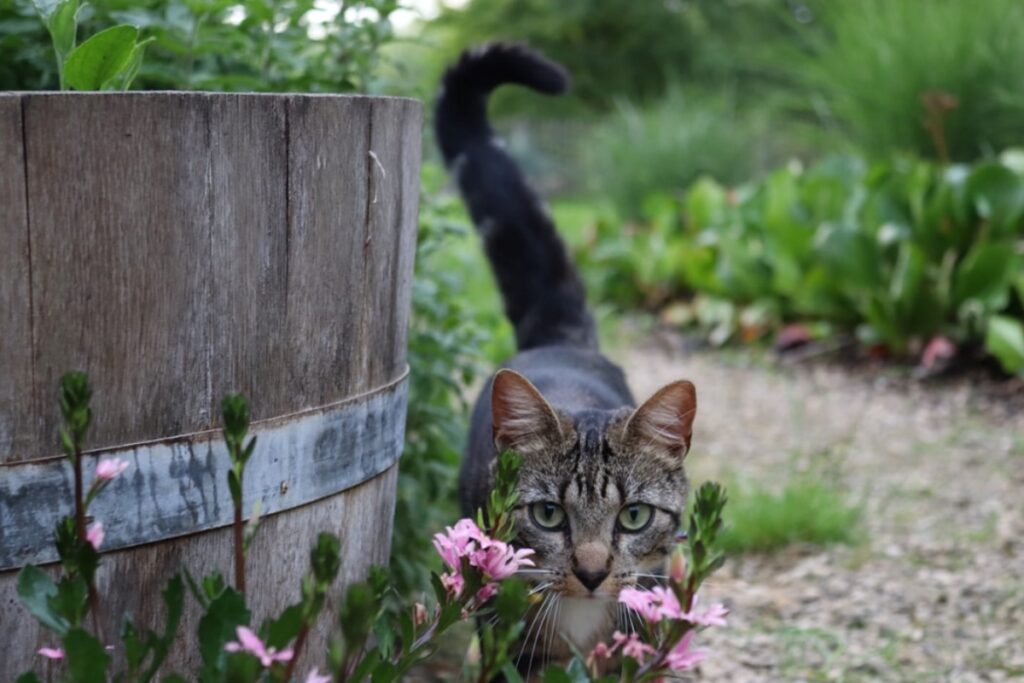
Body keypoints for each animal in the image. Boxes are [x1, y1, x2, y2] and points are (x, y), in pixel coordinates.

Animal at [432, 44, 696, 679]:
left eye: (634, 516)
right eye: (549, 515)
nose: (593, 572)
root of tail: (562, 338)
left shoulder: (638, 639)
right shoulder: (516, 648)